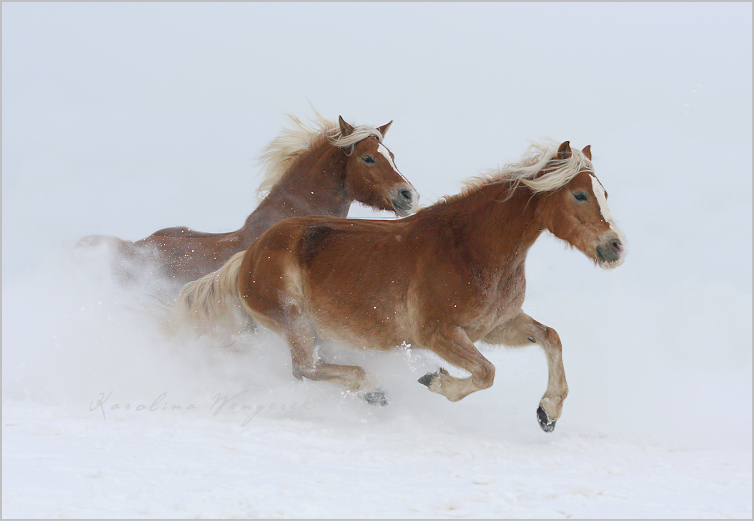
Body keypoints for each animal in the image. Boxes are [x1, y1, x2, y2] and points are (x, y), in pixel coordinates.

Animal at [170, 141, 624, 430]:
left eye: (604, 191)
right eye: (580, 195)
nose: (616, 247)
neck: (473, 248)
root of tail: (246, 256)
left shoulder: (495, 325)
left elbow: (551, 337)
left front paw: (549, 412)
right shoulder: (438, 333)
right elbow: (486, 372)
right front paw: (436, 382)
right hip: (293, 320)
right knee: (304, 369)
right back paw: (374, 390)